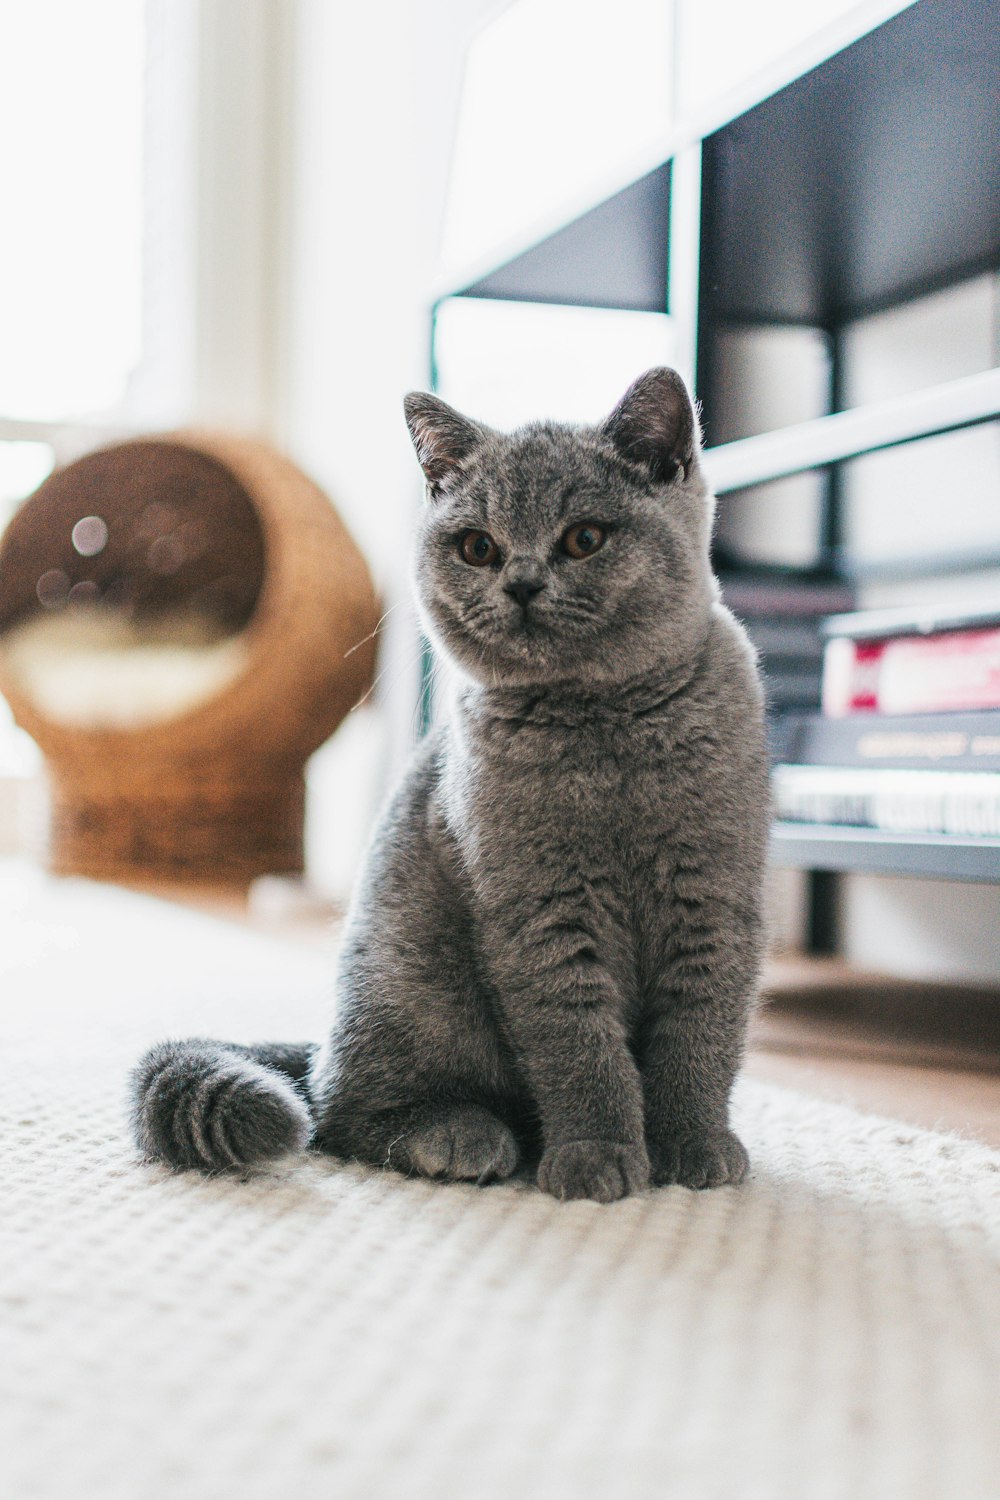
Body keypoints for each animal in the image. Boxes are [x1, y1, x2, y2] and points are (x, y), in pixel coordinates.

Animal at [132, 372, 773, 1206]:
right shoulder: (538, 911)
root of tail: (318, 1043)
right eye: (478, 547)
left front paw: (693, 1145)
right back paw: (461, 1136)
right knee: (340, 1112)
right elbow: (580, 1046)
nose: (523, 582)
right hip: (412, 987)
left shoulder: (714, 895)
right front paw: (597, 1154)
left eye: (584, 539)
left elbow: (701, 1034)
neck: (603, 733)